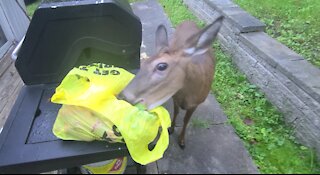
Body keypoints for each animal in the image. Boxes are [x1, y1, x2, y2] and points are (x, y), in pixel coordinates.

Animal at [116, 16, 224, 148]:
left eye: (161, 66)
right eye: (144, 62)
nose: (121, 96)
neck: (188, 94)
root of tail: (188, 21)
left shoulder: (196, 103)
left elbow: (186, 120)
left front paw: (182, 141)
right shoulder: (175, 97)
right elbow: (176, 113)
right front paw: (171, 129)